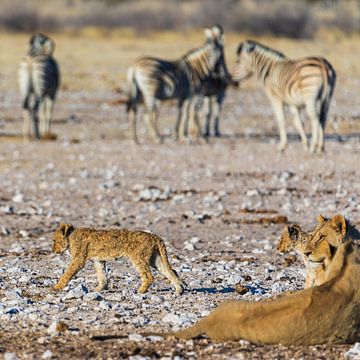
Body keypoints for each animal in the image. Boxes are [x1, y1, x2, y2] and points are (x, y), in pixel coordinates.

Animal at [52, 224, 184, 294]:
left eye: (54, 240)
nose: (53, 250)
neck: (70, 237)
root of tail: (155, 237)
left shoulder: (79, 260)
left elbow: (67, 273)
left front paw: (56, 287)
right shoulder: (98, 260)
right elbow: (102, 275)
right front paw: (99, 289)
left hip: (138, 257)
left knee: (149, 276)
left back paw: (140, 291)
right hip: (155, 259)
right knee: (171, 271)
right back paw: (179, 290)